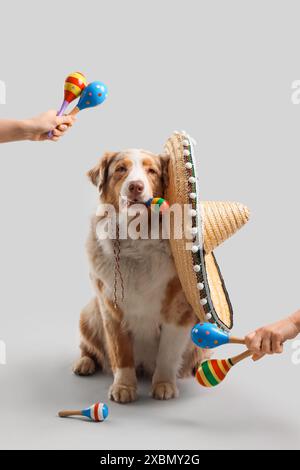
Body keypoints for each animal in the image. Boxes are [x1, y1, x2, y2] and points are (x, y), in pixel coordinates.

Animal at [74, 149, 207, 402]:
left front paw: (164, 384)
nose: (135, 186)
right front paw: (124, 387)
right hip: (89, 312)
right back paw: (84, 363)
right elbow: (121, 354)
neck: (136, 239)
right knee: (89, 347)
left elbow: (167, 353)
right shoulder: (111, 310)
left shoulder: (178, 311)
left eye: (151, 171)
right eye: (120, 169)